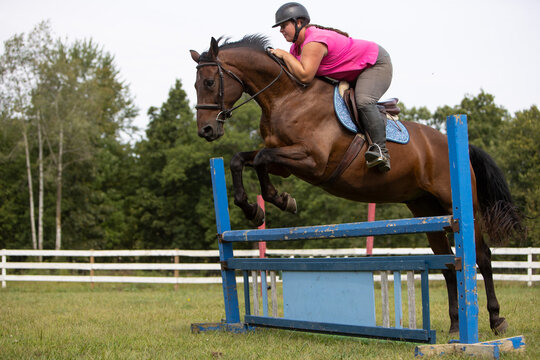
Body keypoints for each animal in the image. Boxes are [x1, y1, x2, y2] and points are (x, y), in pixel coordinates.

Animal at [190, 34, 524, 334]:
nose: (206, 130)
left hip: (459, 204)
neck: (286, 97)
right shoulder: (284, 164)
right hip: (426, 209)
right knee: (447, 264)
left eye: (209, 83)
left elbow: (259, 159)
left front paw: (278, 201)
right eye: (194, 85)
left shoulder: (312, 160)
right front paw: (256, 209)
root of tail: (451, 142)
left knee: (481, 256)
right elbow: (241, 160)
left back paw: (496, 320)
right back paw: (455, 326)